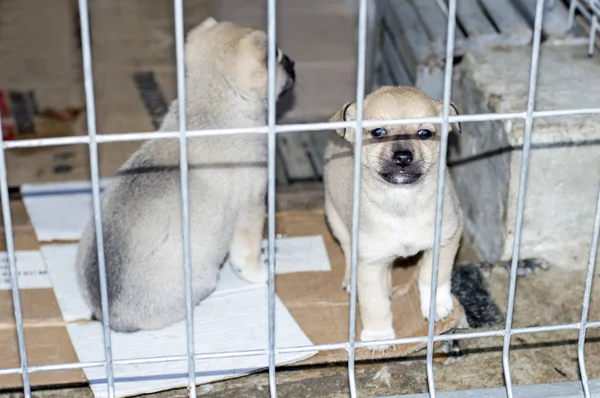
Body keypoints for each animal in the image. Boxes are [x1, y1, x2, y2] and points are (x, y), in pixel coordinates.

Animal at [75, 17, 296, 332]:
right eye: (276, 56)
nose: (292, 62)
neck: (211, 107)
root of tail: (108, 314)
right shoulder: (252, 207)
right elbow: (247, 253)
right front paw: (260, 273)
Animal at [324, 85, 464, 350]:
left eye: (425, 133)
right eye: (378, 132)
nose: (403, 157)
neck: (402, 200)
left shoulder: (446, 239)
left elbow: (434, 275)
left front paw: (436, 304)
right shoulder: (370, 261)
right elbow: (375, 303)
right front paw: (378, 335)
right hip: (335, 219)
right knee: (348, 251)